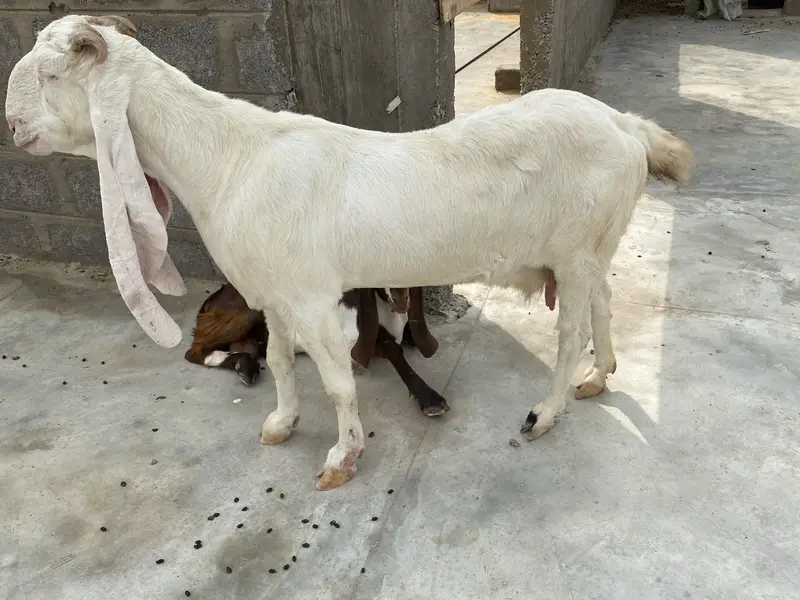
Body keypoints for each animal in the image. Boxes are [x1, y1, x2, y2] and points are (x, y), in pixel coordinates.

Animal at [185, 283, 451, 417]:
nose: (400, 297)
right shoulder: (349, 342)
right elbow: (392, 349)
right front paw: (429, 398)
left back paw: (245, 366)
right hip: (244, 310)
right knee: (195, 350)